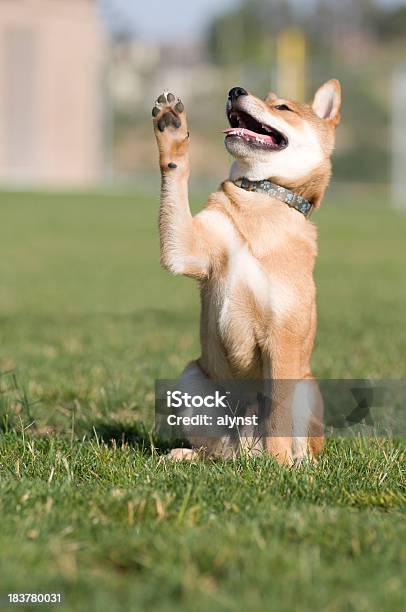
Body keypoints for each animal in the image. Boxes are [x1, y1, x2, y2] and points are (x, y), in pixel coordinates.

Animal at [151, 80, 340, 464]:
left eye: (282, 107)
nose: (236, 90)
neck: (261, 198)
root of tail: (246, 449)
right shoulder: (187, 250)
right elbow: (176, 173)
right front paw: (172, 129)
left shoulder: (282, 337)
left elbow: (279, 418)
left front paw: (279, 466)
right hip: (192, 380)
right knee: (216, 452)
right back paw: (184, 455)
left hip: (306, 386)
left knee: (297, 444)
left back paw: (292, 464)